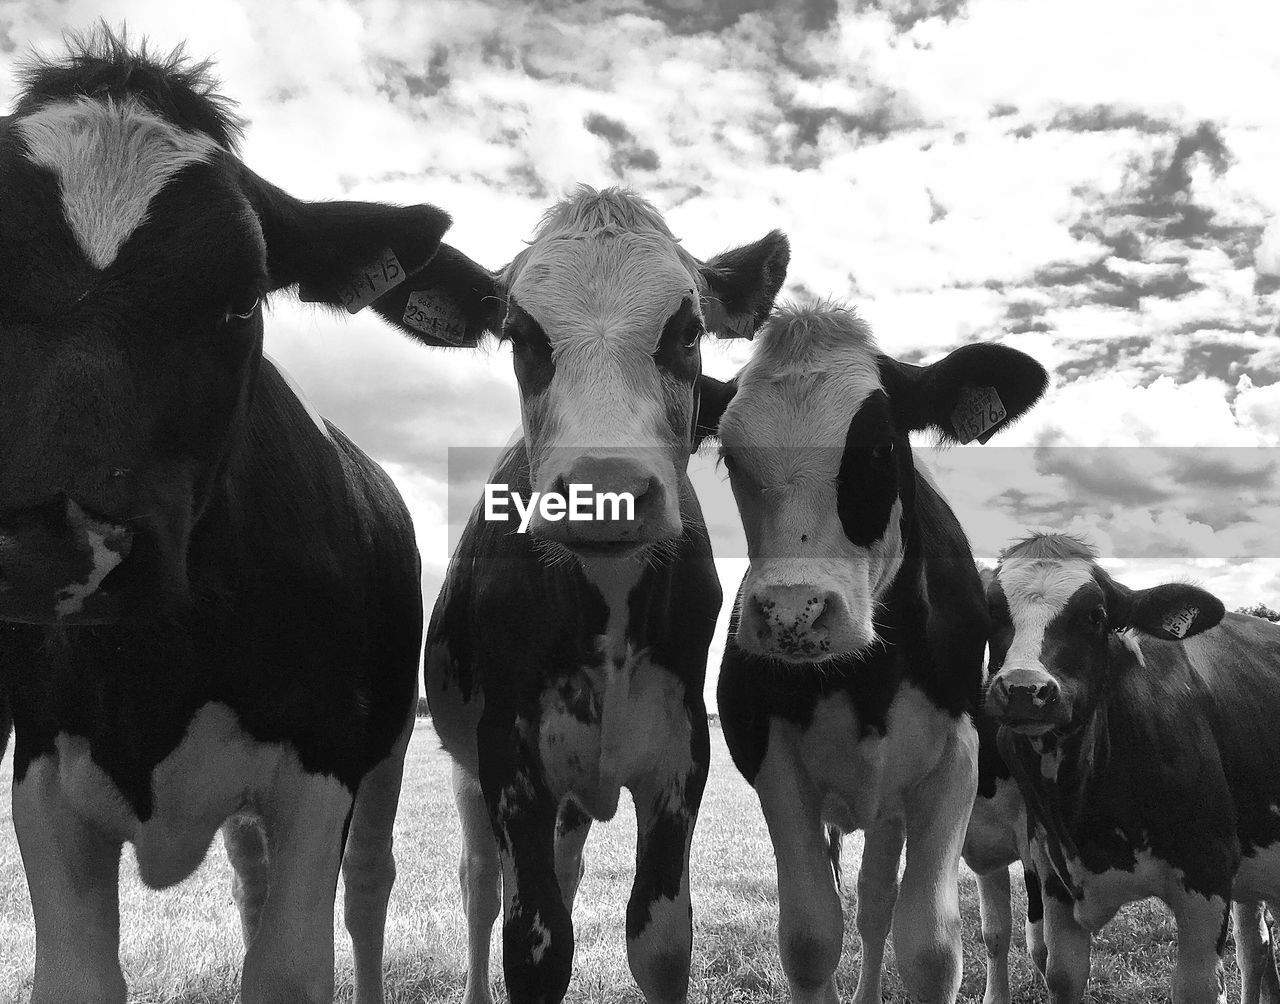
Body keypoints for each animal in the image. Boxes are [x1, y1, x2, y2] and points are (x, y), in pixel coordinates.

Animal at [0, 31, 458, 1004]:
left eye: (244, 295)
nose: (60, 542)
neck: (152, 665)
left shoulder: (323, 766)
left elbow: (290, 970)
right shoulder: (45, 777)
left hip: (393, 743)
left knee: (369, 886)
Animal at [373, 188, 788, 1004]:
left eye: (687, 331)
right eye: (520, 337)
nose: (606, 492)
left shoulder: (680, 756)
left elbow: (659, 942)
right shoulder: (510, 759)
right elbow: (534, 947)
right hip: (466, 770)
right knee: (480, 887)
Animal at [701, 306, 1049, 1004]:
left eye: (882, 446)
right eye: (729, 456)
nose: (794, 612)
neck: (867, 679)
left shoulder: (956, 759)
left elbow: (929, 948)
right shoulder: (773, 760)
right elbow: (811, 938)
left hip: (889, 806)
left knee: (877, 904)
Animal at [983, 532, 1280, 1004]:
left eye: (1096, 615)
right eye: (992, 610)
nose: (1024, 689)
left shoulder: (1208, 874)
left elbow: (1197, 987)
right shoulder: (1052, 875)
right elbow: (1061, 974)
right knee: (1256, 945)